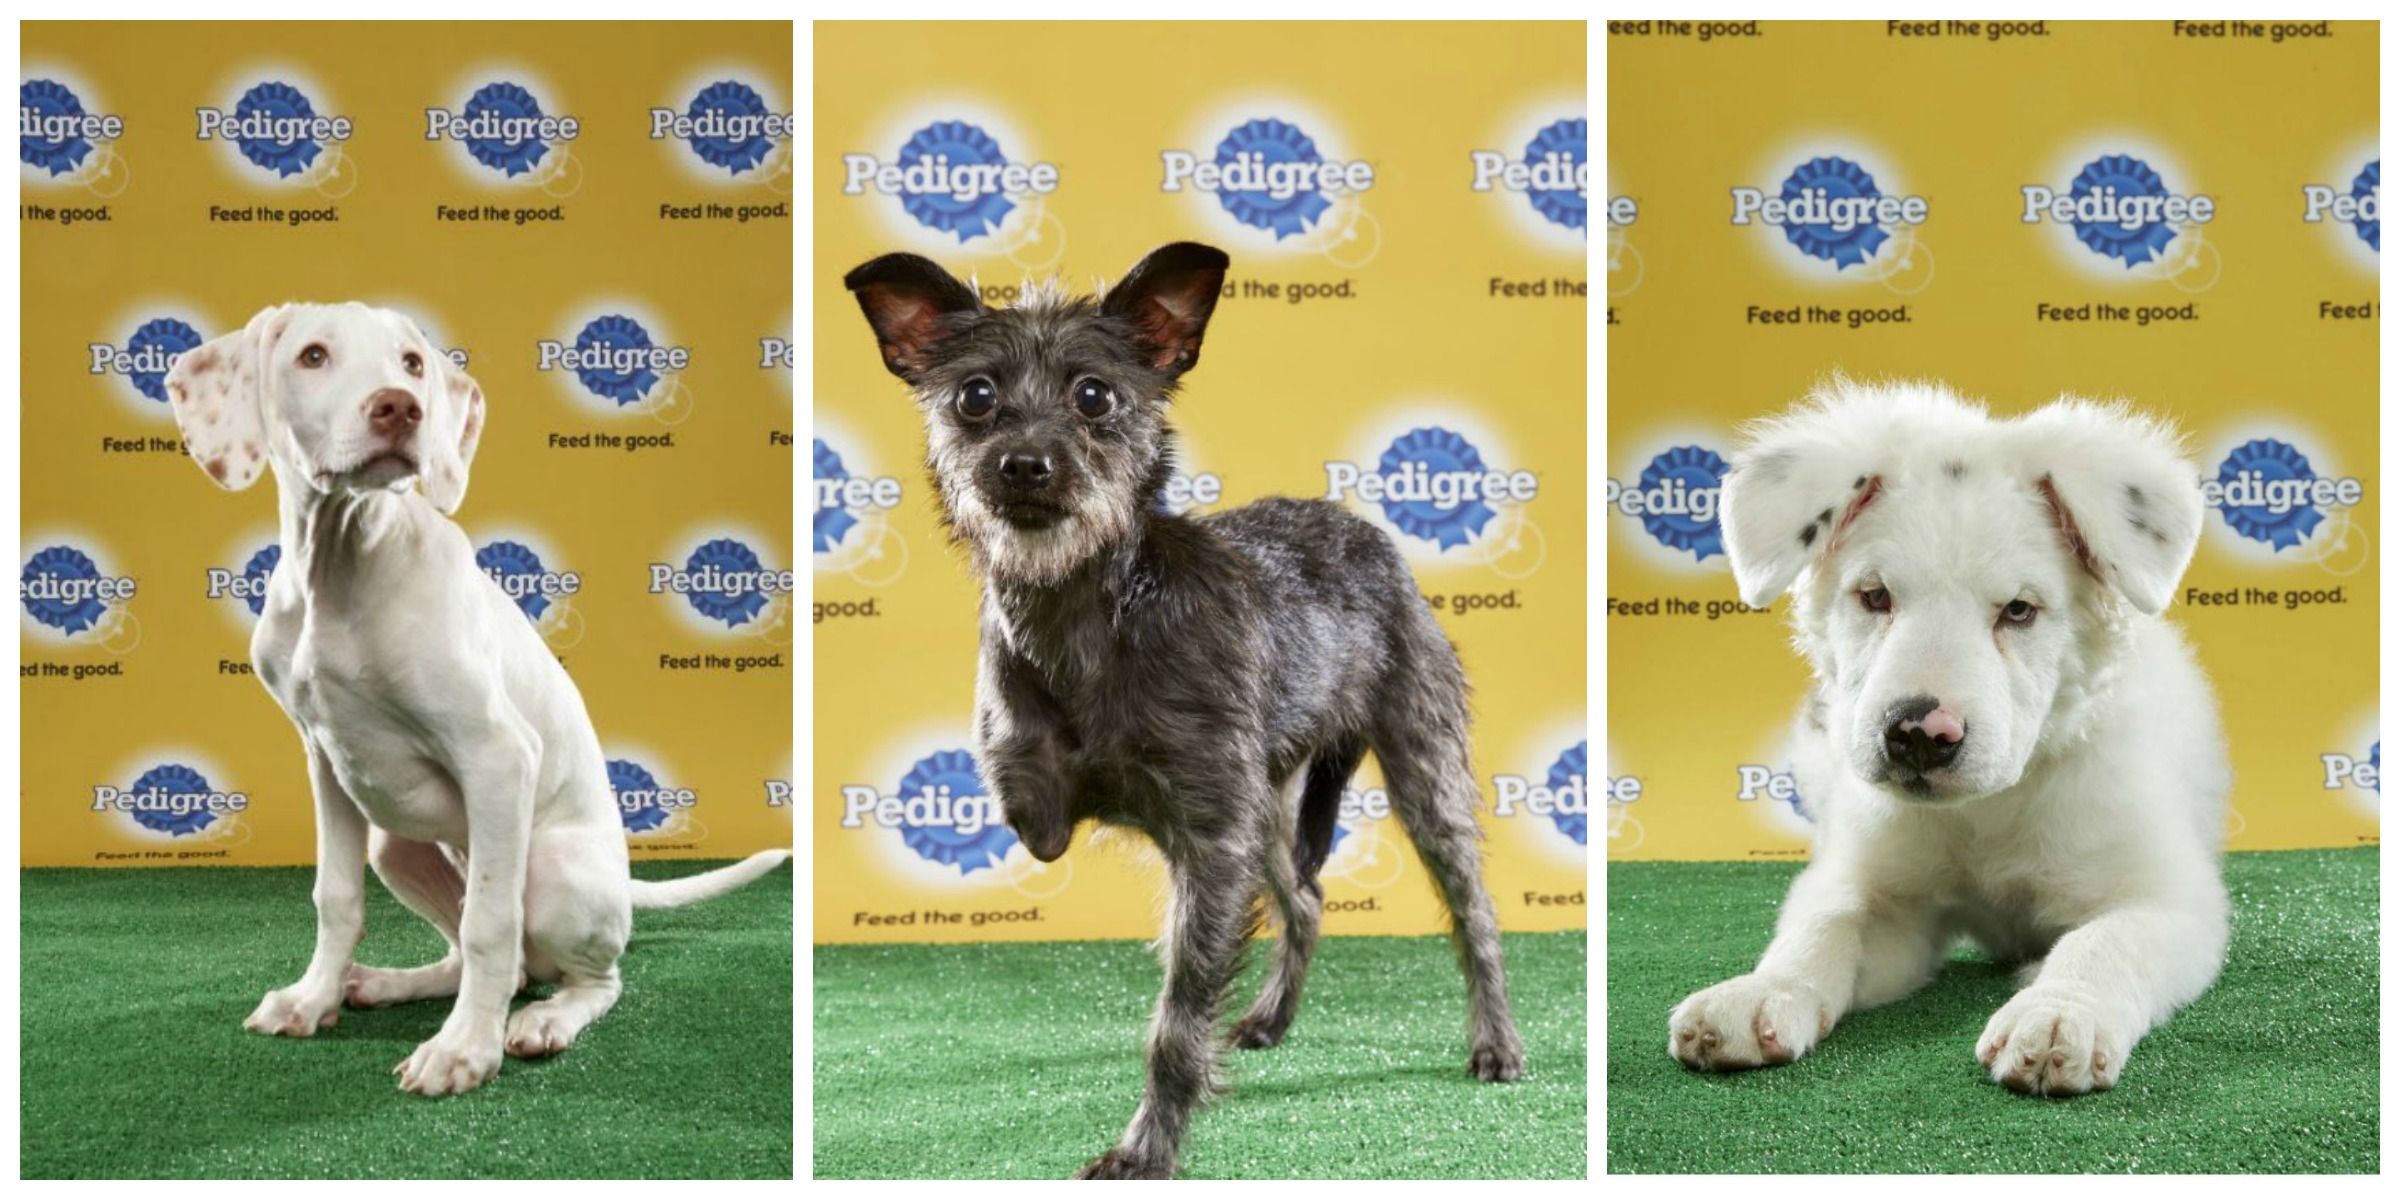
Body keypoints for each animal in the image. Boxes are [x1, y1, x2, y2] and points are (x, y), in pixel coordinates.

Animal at [169, 302, 787, 1099]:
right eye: (312, 355)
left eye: (411, 363)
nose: (401, 408)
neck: (343, 562)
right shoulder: (326, 761)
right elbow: (335, 899)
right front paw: (313, 999)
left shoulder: (497, 754)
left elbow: (489, 924)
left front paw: (464, 1050)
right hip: (394, 847)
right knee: (500, 961)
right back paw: (387, 983)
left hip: (550, 870)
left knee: (584, 976)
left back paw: (542, 1021)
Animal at [844, 238, 1516, 1176]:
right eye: (975, 396)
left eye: (1095, 395)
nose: (1024, 466)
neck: (1094, 612)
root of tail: (1369, 536)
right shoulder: (1062, 806)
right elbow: (1045, 795)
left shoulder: (1212, 834)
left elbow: (1176, 1018)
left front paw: (1145, 1148)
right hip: (1270, 806)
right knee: (1306, 899)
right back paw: (1273, 1017)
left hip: (1422, 772)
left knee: (1473, 910)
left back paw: (1496, 1043)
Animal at [1670, 376, 2227, 1099]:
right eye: (1875, 596)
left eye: (2018, 610)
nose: (1918, 736)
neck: (1987, 815)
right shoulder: (1881, 889)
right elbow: (1823, 924)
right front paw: (1762, 992)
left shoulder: (2167, 898)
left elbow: (2103, 943)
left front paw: (2058, 1015)